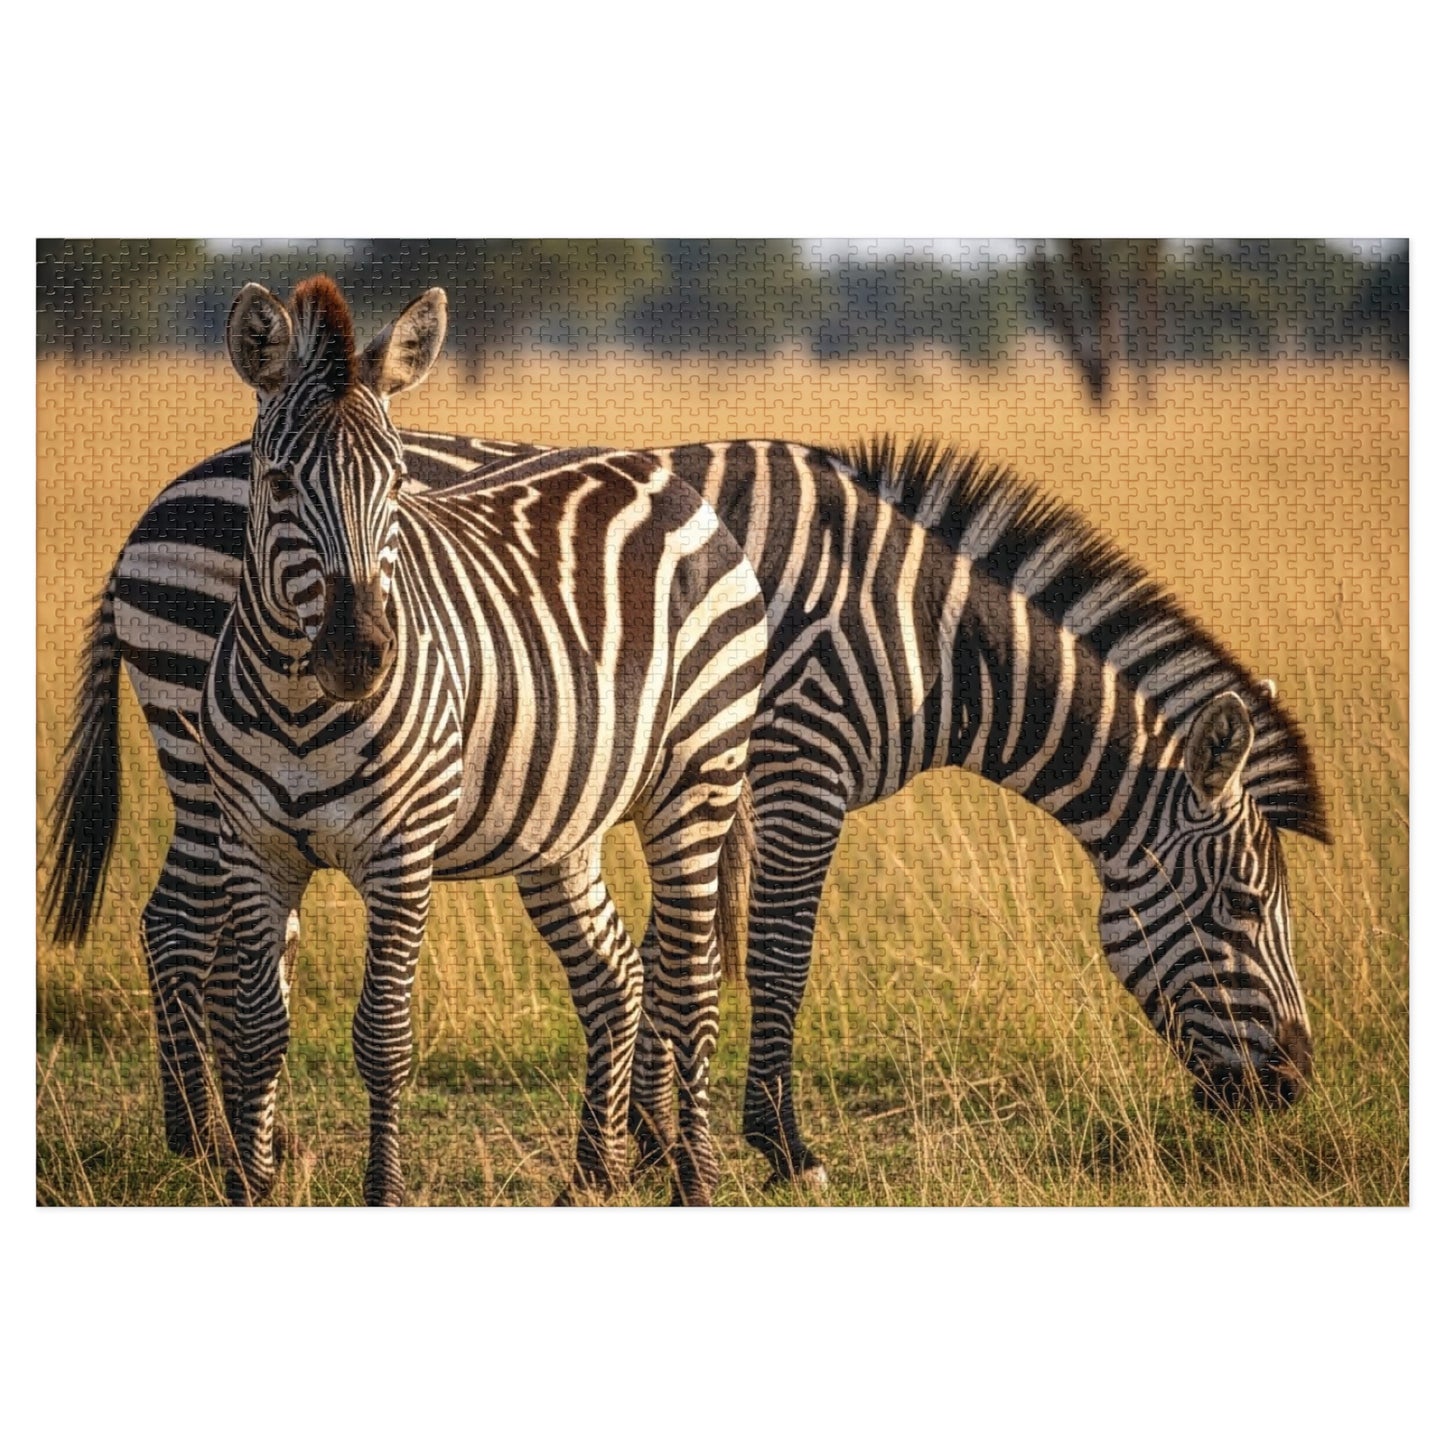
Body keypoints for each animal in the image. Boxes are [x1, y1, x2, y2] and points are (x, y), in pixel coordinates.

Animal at [47, 339, 1329, 1197]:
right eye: (1241, 904)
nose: (1291, 1084)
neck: (925, 635)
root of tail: (157, 501)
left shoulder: (720, 774)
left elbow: (688, 951)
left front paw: (659, 1136)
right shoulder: (801, 763)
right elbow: (773, 951)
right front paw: (779, 1142)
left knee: (184, 923)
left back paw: (226, 1136)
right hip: (208, 745)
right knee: (180, 925)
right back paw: (208, 1142)